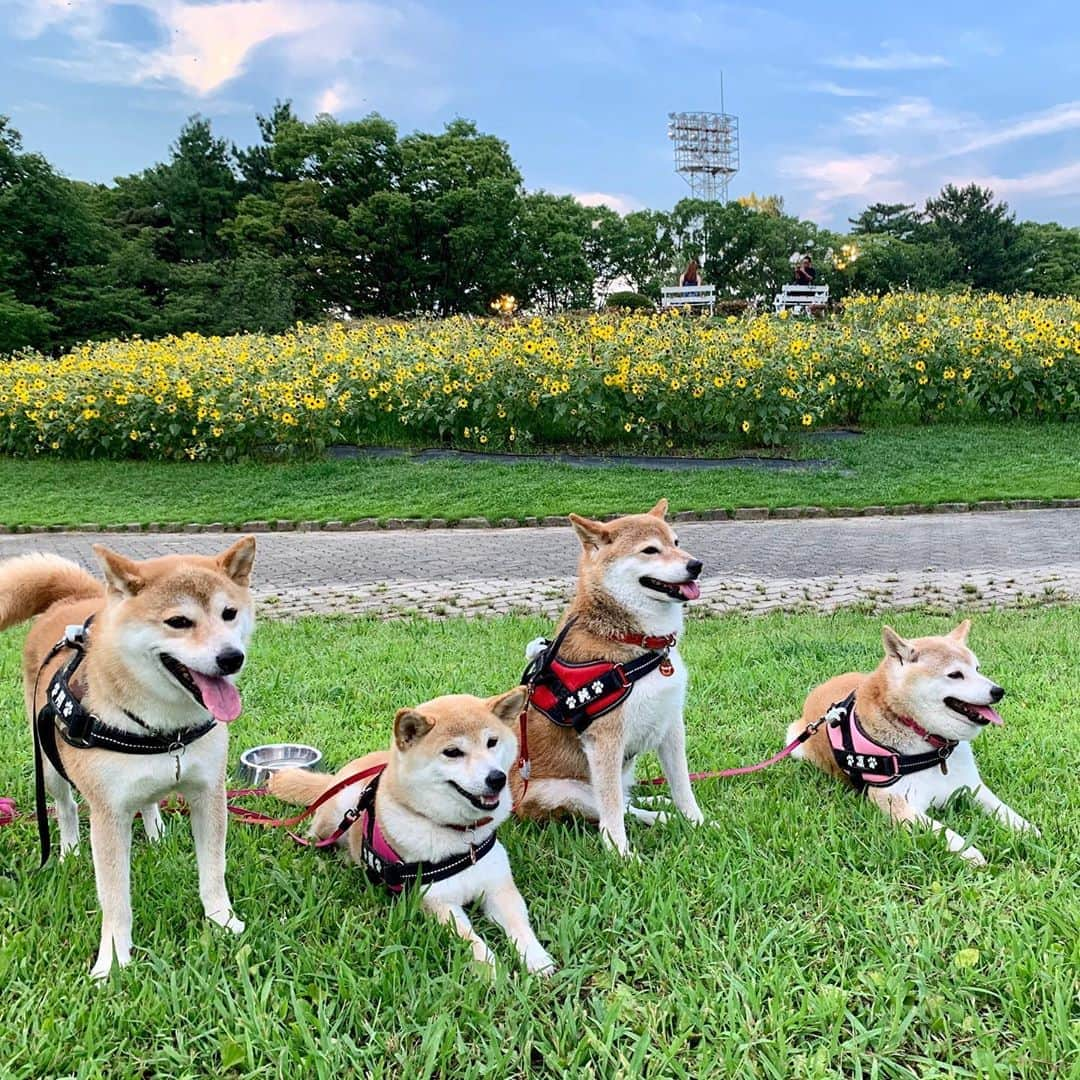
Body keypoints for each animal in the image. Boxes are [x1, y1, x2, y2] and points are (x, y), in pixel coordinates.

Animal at [0, 540, 254, 980]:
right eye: (178, 621)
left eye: (229, 613)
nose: (231, 657)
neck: (165, 730)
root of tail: (73, 602)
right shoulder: (109, 814)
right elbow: (115, 899)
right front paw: (115, 960)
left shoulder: (208, 792)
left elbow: (213, 871)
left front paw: (222, 921)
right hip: (49, 764)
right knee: (65, 807)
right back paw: (69, 850)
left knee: (149, 798)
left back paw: (156, 832)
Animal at [267, 691, 557, 980]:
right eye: (452, 752)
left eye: (492, 742)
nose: (496, 778)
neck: (462, 837)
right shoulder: (439, 902)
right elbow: (471, 940)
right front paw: (493, 972)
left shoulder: (499, 888)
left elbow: (520, 926)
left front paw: (538, 960)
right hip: (338, 810)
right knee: (318, 837)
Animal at [509, 498, 704, 859]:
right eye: (650, 550)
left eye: (676, 542)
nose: (696, 565)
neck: (637, 641)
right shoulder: (605, 740)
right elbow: (611, 810)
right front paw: (621, 854)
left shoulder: (671, 725)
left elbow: (682, 786)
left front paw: (697, 822)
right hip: (561, 791)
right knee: (610, 806)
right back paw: (656, 816)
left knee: (627, 800)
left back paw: (659, 807)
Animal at [794, 622, 1036, 864]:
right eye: (955, 675)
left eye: (977, 669)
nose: (998, 691)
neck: (933, 746)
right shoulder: (895, 801)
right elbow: (941, 830)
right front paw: (968, 851)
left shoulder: (971, 786)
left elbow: (1001, 808)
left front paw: (1025, 827)